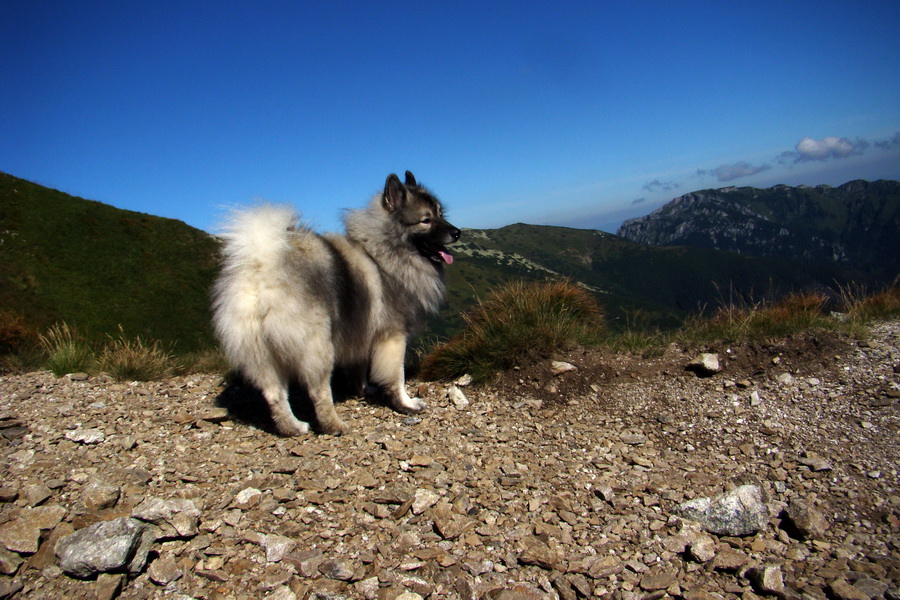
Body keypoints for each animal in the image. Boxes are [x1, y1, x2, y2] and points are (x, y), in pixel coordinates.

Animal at [212, 171, 460, 434]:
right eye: (426, 220)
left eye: (441, 214)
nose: (457, 232)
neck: (384, 253)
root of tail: (262, 270)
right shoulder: (392, 336)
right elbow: (397, 377)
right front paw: (406, 403)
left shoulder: (363, 332)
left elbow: (359, 368)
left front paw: (364, 390)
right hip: (318, 347)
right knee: (318, 391)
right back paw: (334, 425)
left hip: (263, 356)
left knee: (274, 394)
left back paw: (293, 428)